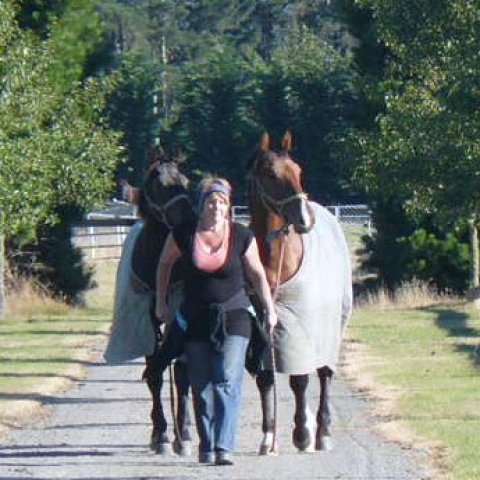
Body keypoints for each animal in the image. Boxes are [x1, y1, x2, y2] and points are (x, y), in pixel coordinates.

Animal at [104, 148, 196, 456]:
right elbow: (155, 371)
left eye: (185, 180)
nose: (190, 222)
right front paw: (161, 434)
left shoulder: (179, 316)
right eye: (157, 182)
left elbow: (180, 372)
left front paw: (182, 436)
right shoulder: (147, 318)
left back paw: (187, 428)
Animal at [248, 131, 352, 454]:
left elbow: (300, 381)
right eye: (271, 174)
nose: (305, 220)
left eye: (298, 170)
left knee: (325, 373)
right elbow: (266, 377)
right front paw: (268, 436)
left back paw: (322, 432)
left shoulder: (301, 326)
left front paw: (302, 434)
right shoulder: (262, 328)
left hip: (331, 325)